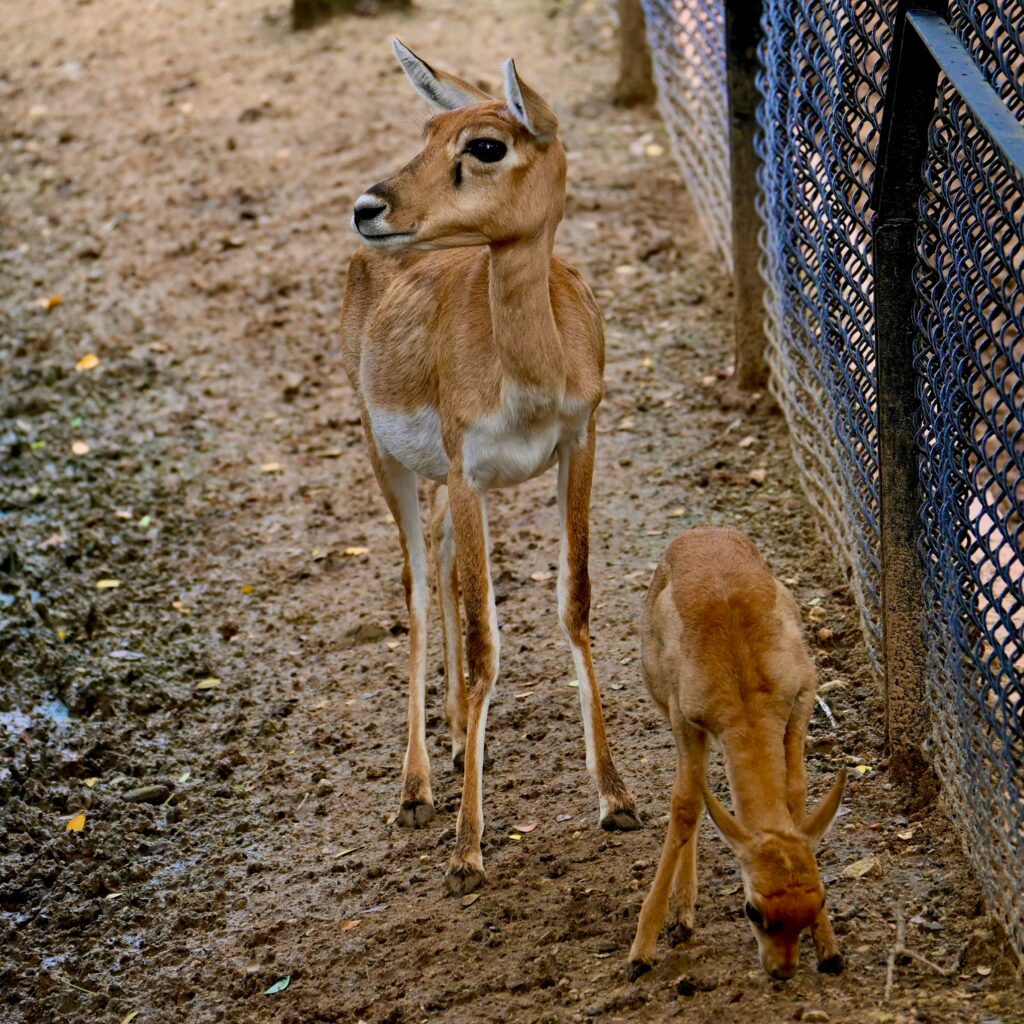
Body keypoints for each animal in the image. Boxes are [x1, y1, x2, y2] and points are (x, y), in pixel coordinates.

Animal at [341, 40, 640, 896]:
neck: (531, 374)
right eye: (427, 128)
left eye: (484, 144)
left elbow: (574, 603)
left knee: (440, 568)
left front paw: (616, 798)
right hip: (387, 455)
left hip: (441, 479)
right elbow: (483, 646)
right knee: (413, 584)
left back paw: (451, 743)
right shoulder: (470, 468)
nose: (370, 207)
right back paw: (415, 789)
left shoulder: (579, 443)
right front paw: (468, 850)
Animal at [627, 527, 847, 981]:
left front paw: (830, 949)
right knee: (692, 797)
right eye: (753, 910)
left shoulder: (803, 695)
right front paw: (640, 953)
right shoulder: (685, 718)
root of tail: (702, 530)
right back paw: (681, 916)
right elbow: (686, 805)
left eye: (820, 899)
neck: (743, 678)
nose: (782, 970)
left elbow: (795, 794)